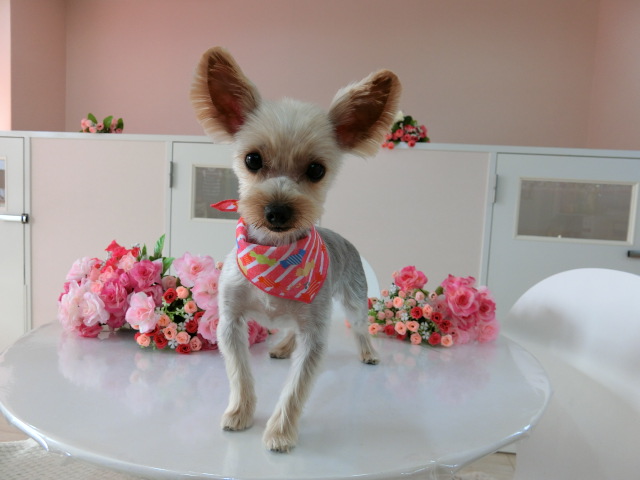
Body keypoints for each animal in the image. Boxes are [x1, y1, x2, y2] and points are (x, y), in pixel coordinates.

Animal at [190, 46, 401, 452]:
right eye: (252, 159)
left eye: (317, 169)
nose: (277, 211)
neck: (274, 258)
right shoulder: (231, 321)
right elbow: (240, 372)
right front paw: (240, 412)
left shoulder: (315, 334)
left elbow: (296, 388)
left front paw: (280, 433)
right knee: (290, 328)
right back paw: (283, 345)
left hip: (353, 297)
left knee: (359, 326)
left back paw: (367, 351)